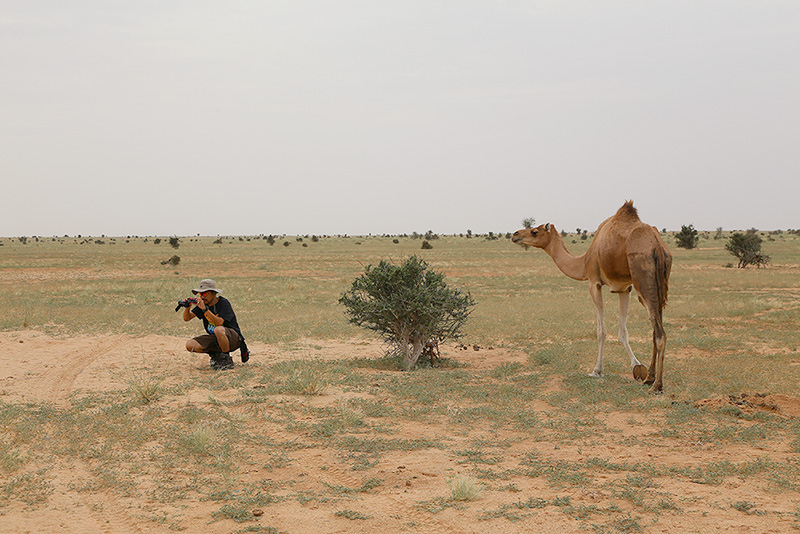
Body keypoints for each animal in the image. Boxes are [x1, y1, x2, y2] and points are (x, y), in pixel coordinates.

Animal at [510, 201, 672, 394]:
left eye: (535, 231)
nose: (515, 234)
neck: (583, 260)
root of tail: (657, 246)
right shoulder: (624, 289)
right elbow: (623, 331)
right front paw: (638, 367)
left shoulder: (594, 282)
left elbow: (601, 331)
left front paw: (597, 370)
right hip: (660, 285)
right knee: (656, 329)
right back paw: (650, 378)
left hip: (643, 279)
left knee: (660, 333)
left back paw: (657, 385)